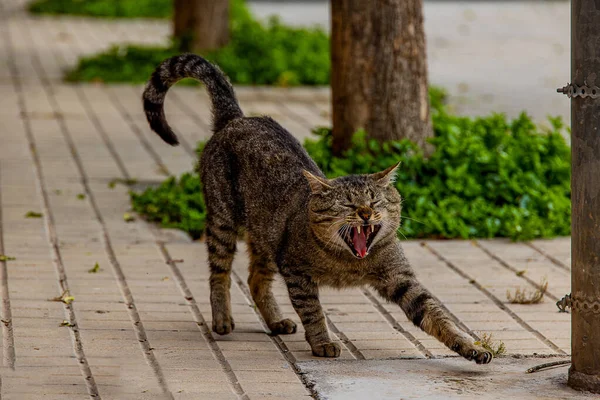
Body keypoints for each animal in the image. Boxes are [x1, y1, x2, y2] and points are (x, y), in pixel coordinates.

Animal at [144, 54, 492, 364]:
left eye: (375, 201)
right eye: (348, 203)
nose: (365, 213)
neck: (349, 264)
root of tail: (237, 117)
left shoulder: (400, 278)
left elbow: (438, 315)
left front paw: (469, 347)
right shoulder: (297, 272)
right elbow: (313, 312)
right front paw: (322, 342)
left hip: (267, 236)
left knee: (256, 278)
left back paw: (276, 321)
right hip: (223, 220)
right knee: (220, 273)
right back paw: (222, 320)